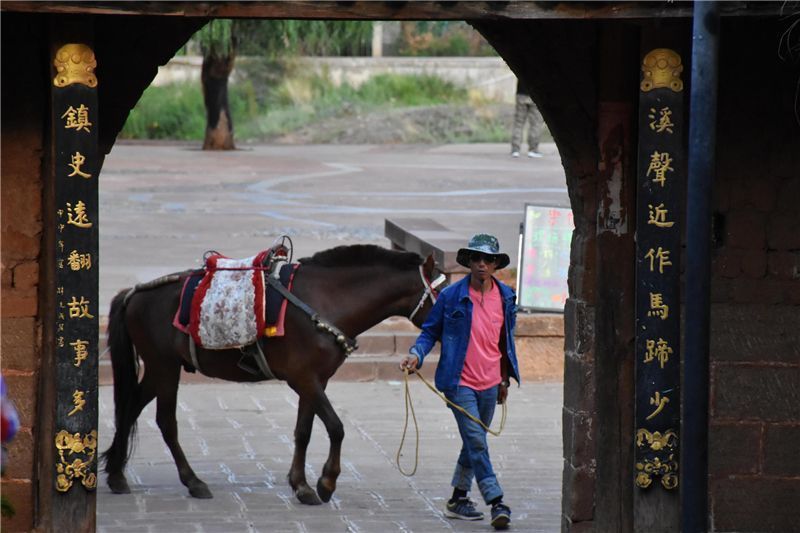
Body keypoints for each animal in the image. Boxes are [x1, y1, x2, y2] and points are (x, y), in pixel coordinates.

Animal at [102, 244, 440, 502]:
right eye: (443, 291)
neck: (325, 300)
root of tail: (134, 293)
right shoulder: (303, 377)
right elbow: (336, 427)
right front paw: (326, 482)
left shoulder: (315, 379)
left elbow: (303, 430)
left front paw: (301, 485)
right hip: (164, 366)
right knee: (165, 422)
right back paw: (192, 481)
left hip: (159, 368)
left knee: (131, 406)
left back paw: (117, 474)